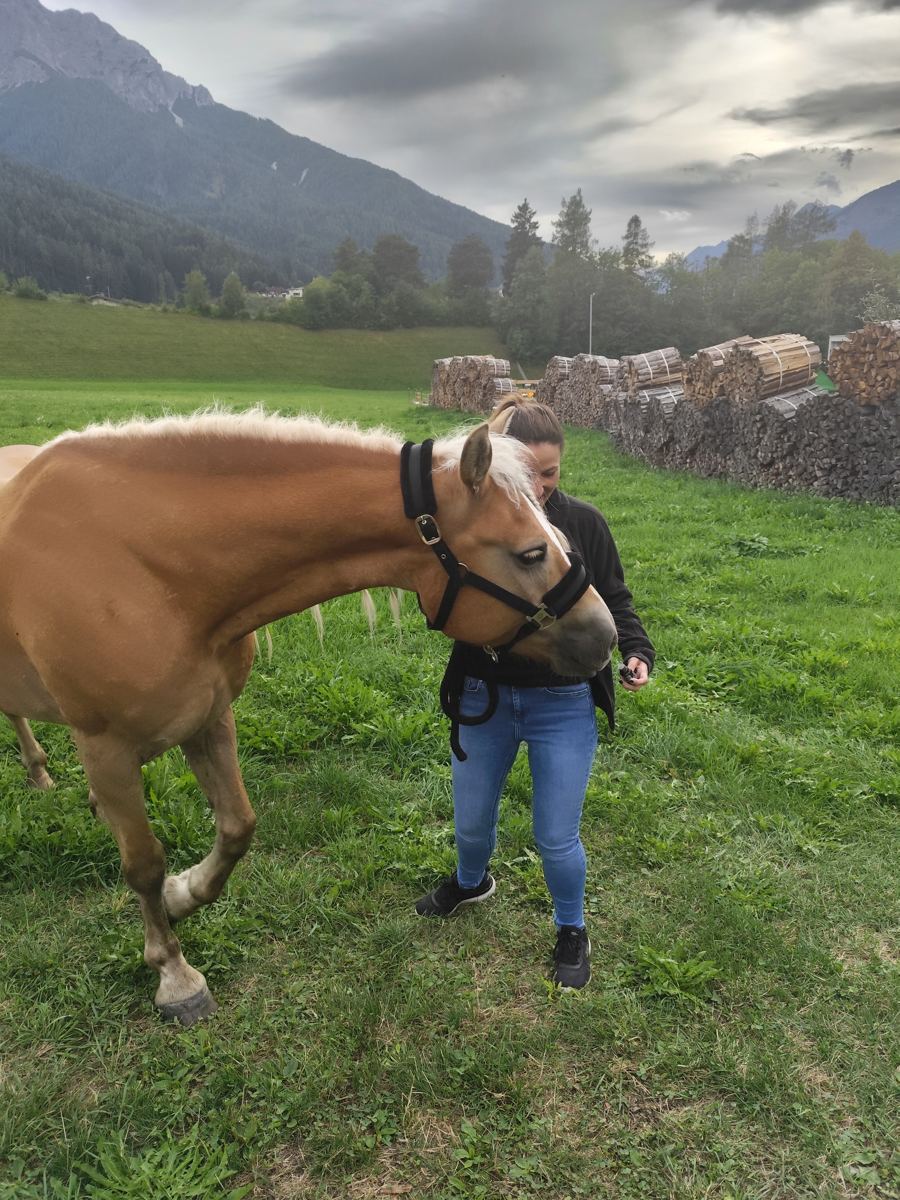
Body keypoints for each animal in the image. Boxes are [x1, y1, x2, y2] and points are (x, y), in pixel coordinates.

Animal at [0, 412, 617, 1024]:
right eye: (531, 553)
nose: (607, 636)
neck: (151, 570)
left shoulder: (207, 719)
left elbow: (236, 828)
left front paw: (182, 895)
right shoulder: (105, 746)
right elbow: (144, 864)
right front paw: (174, 974)